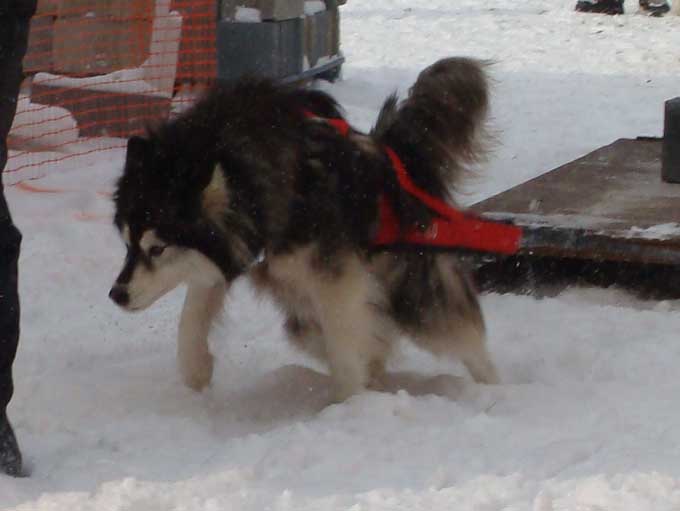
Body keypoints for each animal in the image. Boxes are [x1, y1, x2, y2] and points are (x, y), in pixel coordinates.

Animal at [110, 56, 500, 400]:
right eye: (127, 245)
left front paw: (349, 404)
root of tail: (396, 160)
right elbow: (194, 308)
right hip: (302, 303)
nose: (116, 294)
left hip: (417, 295)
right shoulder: (236, 252)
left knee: (462, 334)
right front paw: (195, 366)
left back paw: (492, 390)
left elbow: (344, 344)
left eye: (157, 248)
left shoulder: (337, 281)